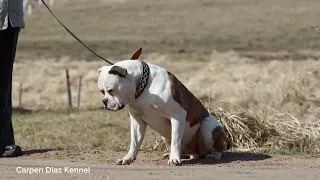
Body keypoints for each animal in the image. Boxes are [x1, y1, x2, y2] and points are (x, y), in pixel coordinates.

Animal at [97, 48, 230, 166]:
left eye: (111, 90)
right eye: (102, 92)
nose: (104, 101)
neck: (143, 86)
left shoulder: (177, 115)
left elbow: (176, 140)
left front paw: (174, 159)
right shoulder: (137, 120)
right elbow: (134, 142)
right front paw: (128, 158)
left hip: (208, 125)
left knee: (214, 149)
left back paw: (212, 155)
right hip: (165, 136)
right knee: (191, 153)